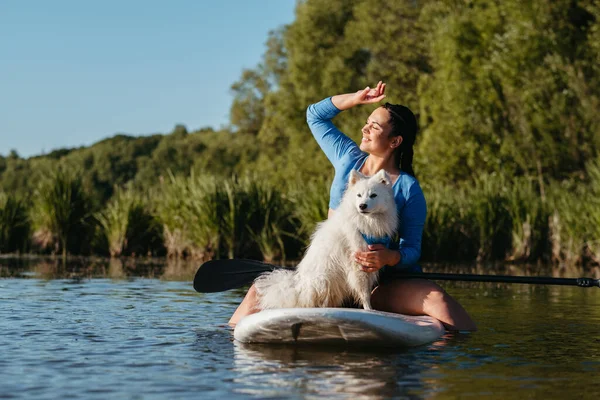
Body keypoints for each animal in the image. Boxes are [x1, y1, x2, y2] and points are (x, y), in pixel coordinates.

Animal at [253, 169, 398, 310]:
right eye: (359, 195)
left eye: (373, 195)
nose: (362, 206)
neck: (368, 221)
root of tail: (299, 290)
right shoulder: (357, 263)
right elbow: (364, 292)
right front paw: (369, 308)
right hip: (323, 279)